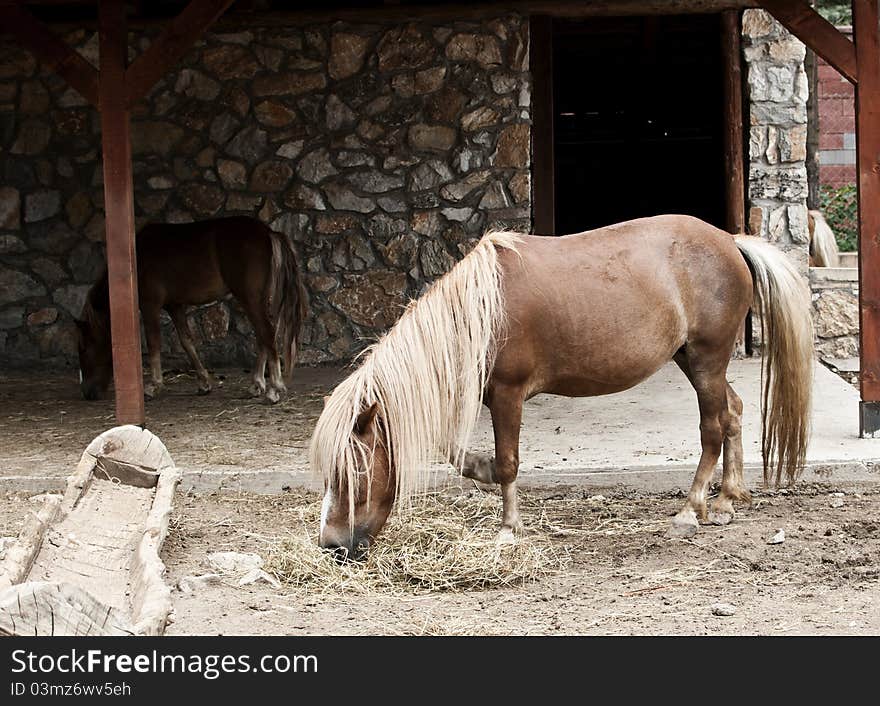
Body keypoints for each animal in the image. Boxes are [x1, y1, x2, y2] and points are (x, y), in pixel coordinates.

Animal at [76, 213, 310, 402]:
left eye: (84, 347)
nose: (88, 392)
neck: (136, 258)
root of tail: (268, 232)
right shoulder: (175, 306)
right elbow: (187, 341)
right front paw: (204, 383)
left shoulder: (149, 305)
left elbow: (153, 343)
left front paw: (154, 386)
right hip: (258, 299)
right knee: (265, 335)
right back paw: (257, 384)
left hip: (250, 298)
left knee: (267, 333)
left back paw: (274, 388)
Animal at [312, 214, 816, 556]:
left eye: (353, 473)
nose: (332, 546)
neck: (481, 311)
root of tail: (731, 241)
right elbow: (456, 450)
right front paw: (480, 470)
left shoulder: (506, 395)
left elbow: (508, 464)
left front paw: (508, 529)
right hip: (694, 361)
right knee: (733, 413)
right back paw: (728, 499)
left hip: (706, 361)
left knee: (713, 427)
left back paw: (691, 510)